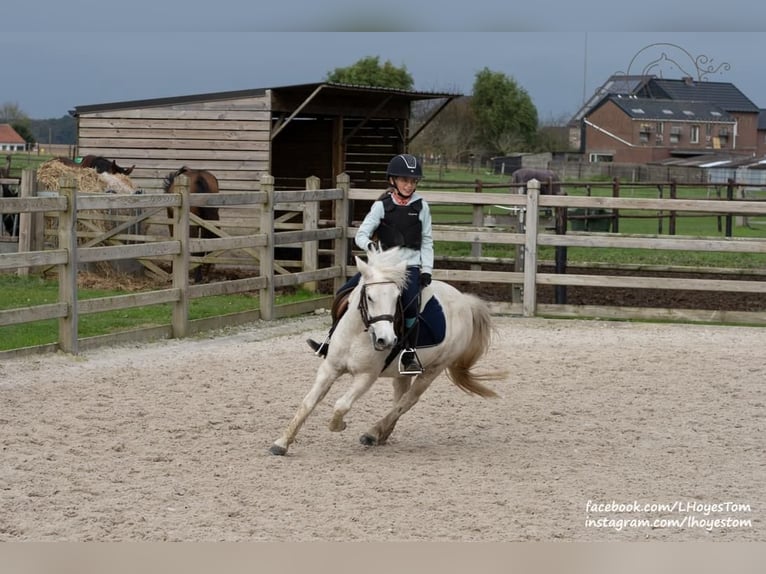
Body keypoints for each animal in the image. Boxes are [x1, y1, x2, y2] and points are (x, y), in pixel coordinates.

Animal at [272, 250, 510, 456]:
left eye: (397, 298)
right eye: (369, 297)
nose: (386, 340)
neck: (358, 333)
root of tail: (465, 301)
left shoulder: (366, 376)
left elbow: (342, 405)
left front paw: (338, 425)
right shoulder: (329, 368)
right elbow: (307, 403)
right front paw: (281, 443)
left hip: (433, 369)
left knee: (408, 401)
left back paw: (373, 432)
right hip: (402, 372)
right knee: (399, 400)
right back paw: (382, 434)